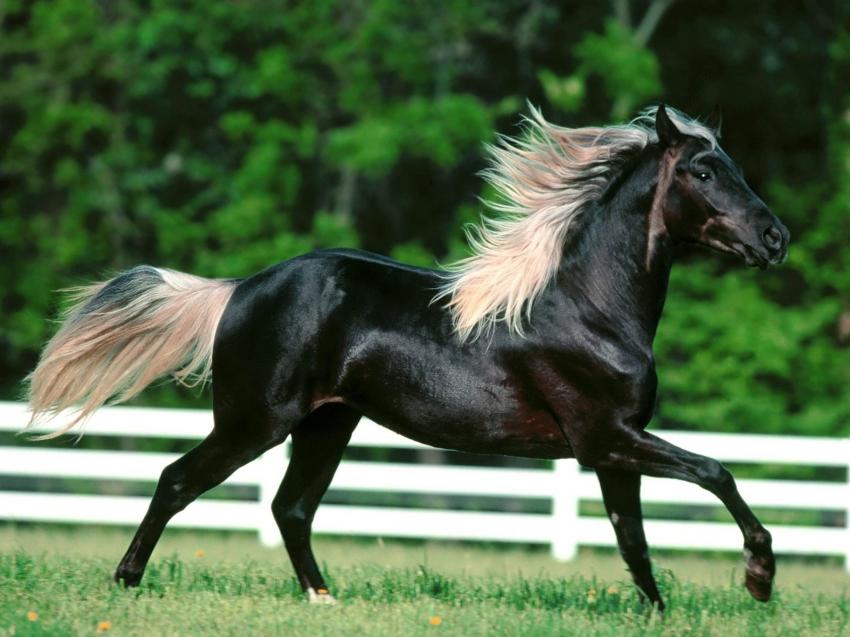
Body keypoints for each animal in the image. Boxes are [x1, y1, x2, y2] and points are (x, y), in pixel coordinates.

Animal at [25, 105, 789, 611]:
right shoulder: (606, 436)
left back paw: (324, 599)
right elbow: (715, 472)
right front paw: (759, 578)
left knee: (290, 507)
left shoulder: (612, 446)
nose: (775, 239)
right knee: (178, 480)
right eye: (703, 170)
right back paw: (126, 583)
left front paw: (658, 612)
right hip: (255, 422)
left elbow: (632, 538)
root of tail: (239, 289)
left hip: (327, 424)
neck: (589, 307)